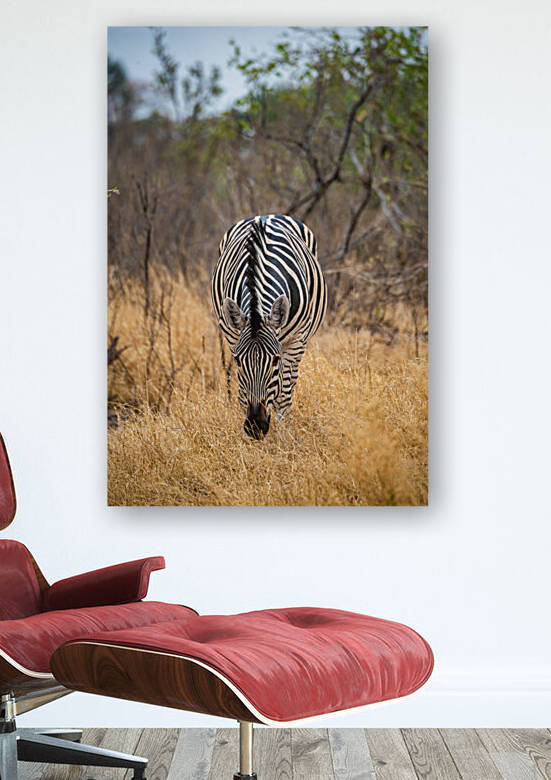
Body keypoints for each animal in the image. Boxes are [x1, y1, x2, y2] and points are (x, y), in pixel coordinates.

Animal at [212, 214, 327, 439]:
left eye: (275, 360)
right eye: (238, 360)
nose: (256, 425)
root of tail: (265, 215)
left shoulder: (295, 342)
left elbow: (283, 395)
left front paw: (281, 437)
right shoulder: (232, 339)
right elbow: (242, 395)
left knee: (289, 385)